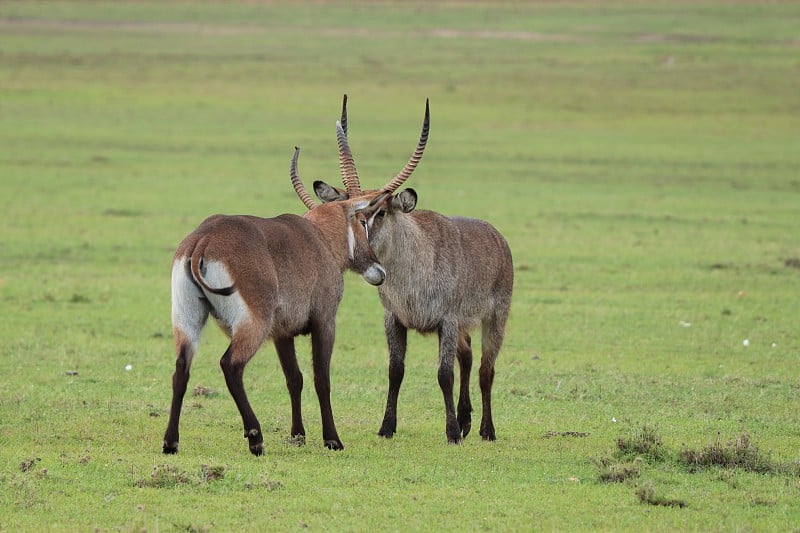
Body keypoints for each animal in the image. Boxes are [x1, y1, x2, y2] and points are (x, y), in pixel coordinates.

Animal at [161, 143, 392, 456]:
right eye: (362, 220)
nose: (379, 271)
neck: (320, 237)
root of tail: (204, 240)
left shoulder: (282, 332)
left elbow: (294, 378)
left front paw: (298, 435)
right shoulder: (325, 322)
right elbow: (321, 379)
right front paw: (332, 439)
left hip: (187, 319)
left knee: (181, 369)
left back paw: (170, 442)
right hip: (253, 324)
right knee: (230, 364)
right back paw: (255, 438)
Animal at [298, 96, 512, 444]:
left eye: (381, 212)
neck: (411, 276)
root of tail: (497, 235)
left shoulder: (447, 320)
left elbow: (444, 374)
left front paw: (451, 433)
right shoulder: (394, 318)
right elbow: (395, 371)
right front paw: (387, 427)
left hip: (495, 319)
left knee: (485, 369)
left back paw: (486, 430)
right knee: (467, 357)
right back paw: (466, 421)